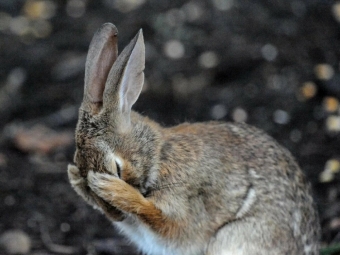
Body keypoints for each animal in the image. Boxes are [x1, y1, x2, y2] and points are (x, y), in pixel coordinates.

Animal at [67, 22, 320, 254]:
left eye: (117, 168)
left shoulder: (183, 206)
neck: (158, 157)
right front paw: (75, 179)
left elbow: (160, 218)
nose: (116, 216)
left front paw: (112, 188)